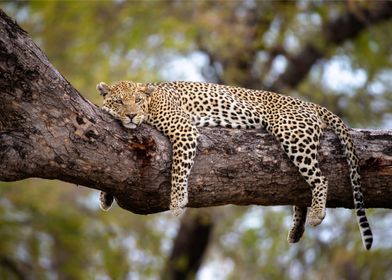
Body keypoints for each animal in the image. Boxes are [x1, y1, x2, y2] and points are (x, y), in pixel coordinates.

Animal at [96, 80, 372, 249]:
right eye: (119, 102)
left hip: (291, 134)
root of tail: (309, 103)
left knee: (320, 178)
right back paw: (296, 230)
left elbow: (179, 168)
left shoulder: (184, 129)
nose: (131, 115)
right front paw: (105, 196)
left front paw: (176, 203)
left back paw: (316, 215)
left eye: (137, 100)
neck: (151, 102)